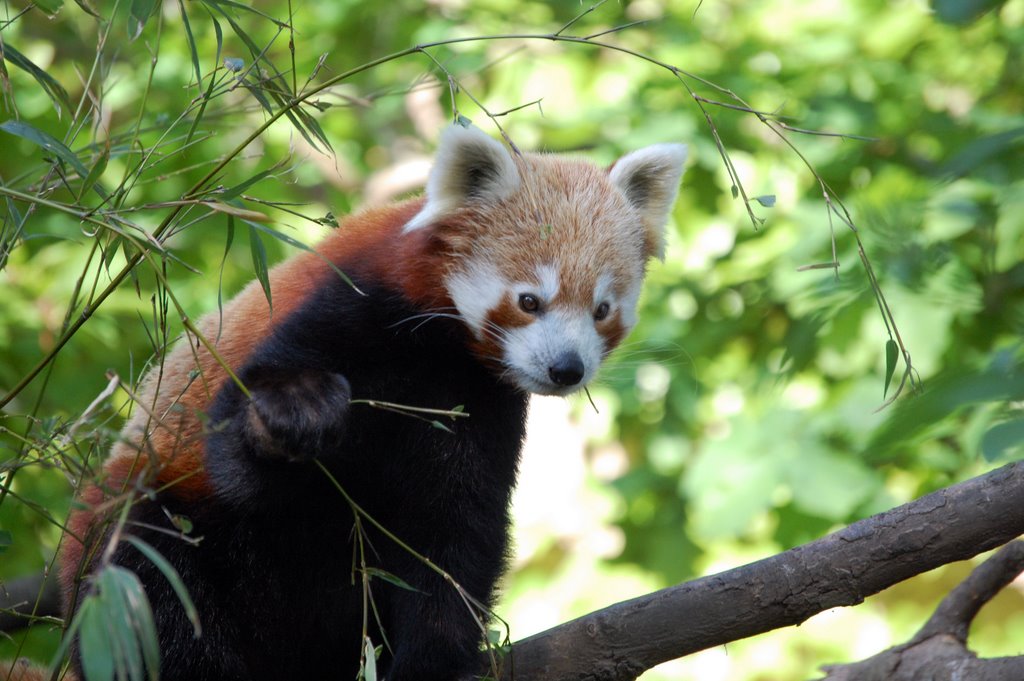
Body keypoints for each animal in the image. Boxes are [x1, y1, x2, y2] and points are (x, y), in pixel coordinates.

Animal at [54, 123, 688, 679]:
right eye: (530, 301)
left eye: (602, 310)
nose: (566, 368)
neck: (439, 352)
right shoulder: (344, 307)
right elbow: (238, 462)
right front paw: (298, 409)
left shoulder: (474, 406)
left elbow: (453, 534)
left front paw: (436, 662)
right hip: (136, 536)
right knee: (152, 590)